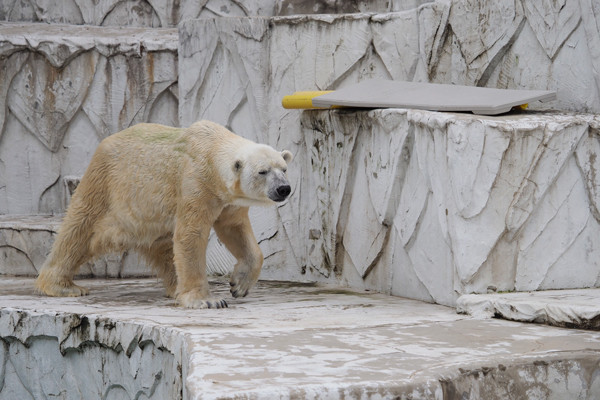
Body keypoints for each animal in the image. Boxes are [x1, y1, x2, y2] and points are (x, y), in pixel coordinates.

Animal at [35, 120, 292, 308]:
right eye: (263, 171)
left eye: (284, 168)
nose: (284, 188)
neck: (212, 149)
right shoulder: (196, 182)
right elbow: (191, 235)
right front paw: (207, 300)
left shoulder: (226, 199)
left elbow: (234, 229)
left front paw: (239, 285)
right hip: (106, 184)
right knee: (80, 231)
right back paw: (62, 286)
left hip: (150, 218)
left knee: (164, 247)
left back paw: (175, 288)